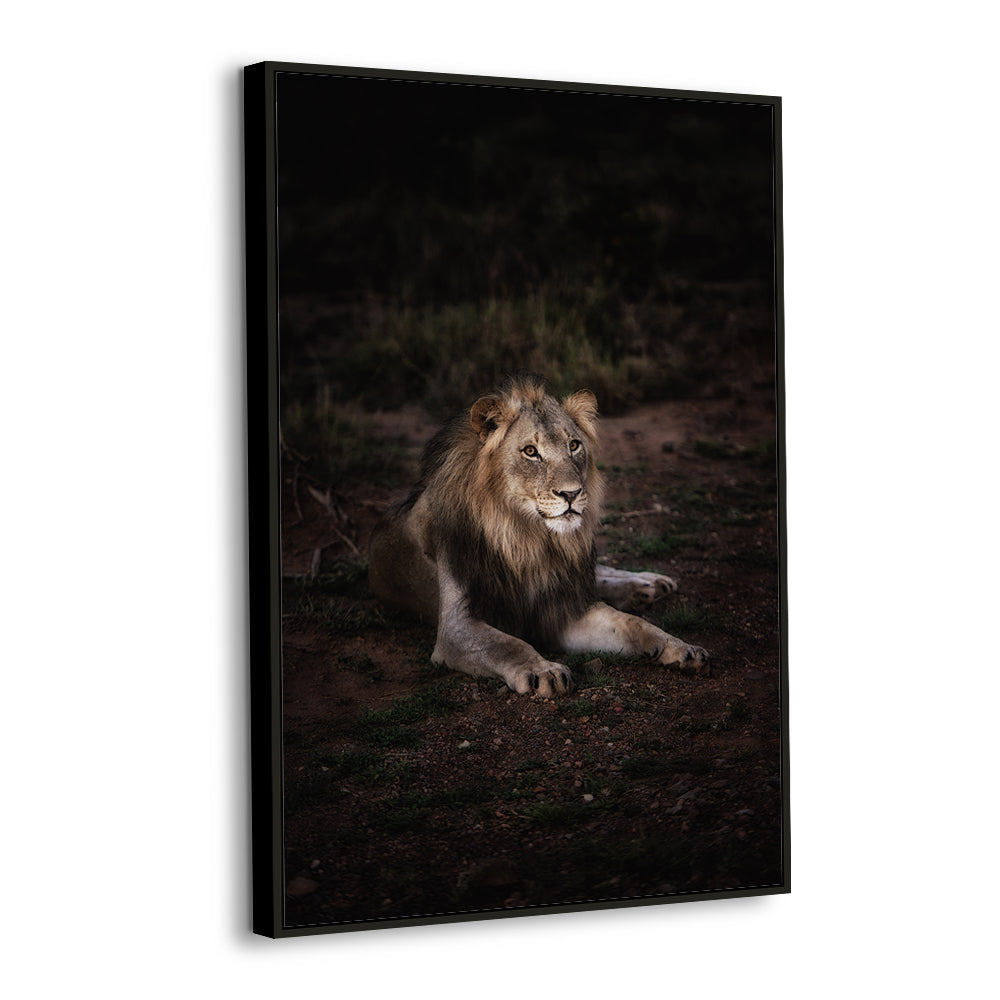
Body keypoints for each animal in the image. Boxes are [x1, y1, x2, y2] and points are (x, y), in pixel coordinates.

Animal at [368, 373, 709, 697]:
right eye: (531, 452)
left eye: (574, 445)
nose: (572, 494)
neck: (529, 540)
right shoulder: (456, 627)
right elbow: (508, 645)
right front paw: (545, 671)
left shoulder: (562, 607)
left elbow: (632, 623)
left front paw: (680, 647)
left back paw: (648, 583)